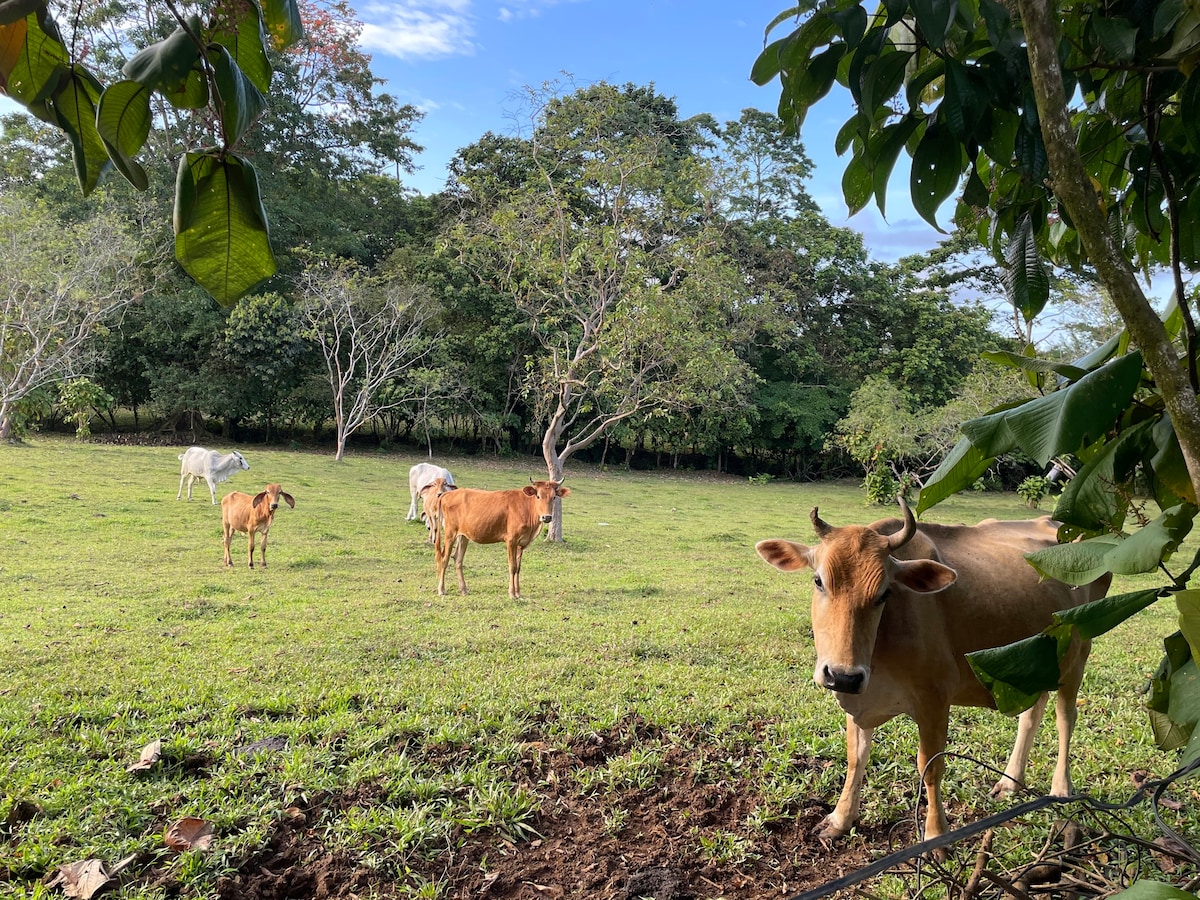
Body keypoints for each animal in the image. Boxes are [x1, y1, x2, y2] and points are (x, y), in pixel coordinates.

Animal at [436, 480, 571, 600]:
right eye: (538, 496)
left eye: (554, 497)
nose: (546, 517)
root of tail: (447, 494)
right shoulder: (511, 540)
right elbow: (512, 566)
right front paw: (512, 593)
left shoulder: (521, 544)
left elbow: (518, 568)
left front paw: (518, 593)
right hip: (450, 533)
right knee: (444, 558)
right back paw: (441, 589)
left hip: (464, 536)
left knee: (458, 559)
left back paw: (464, 589)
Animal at [753, 504, 1108, 849]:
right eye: (818, 581)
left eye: (884, 593)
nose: (842, 676)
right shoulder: (859, 698)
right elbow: (856, 758)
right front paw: (840, 820)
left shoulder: (935, 699)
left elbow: (931, 767)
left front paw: (937, 836)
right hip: (1037, 664)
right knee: (1031, 715)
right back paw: (1010, 783)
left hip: (1079, 652)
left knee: (1065, 717)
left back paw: (1061, 788)